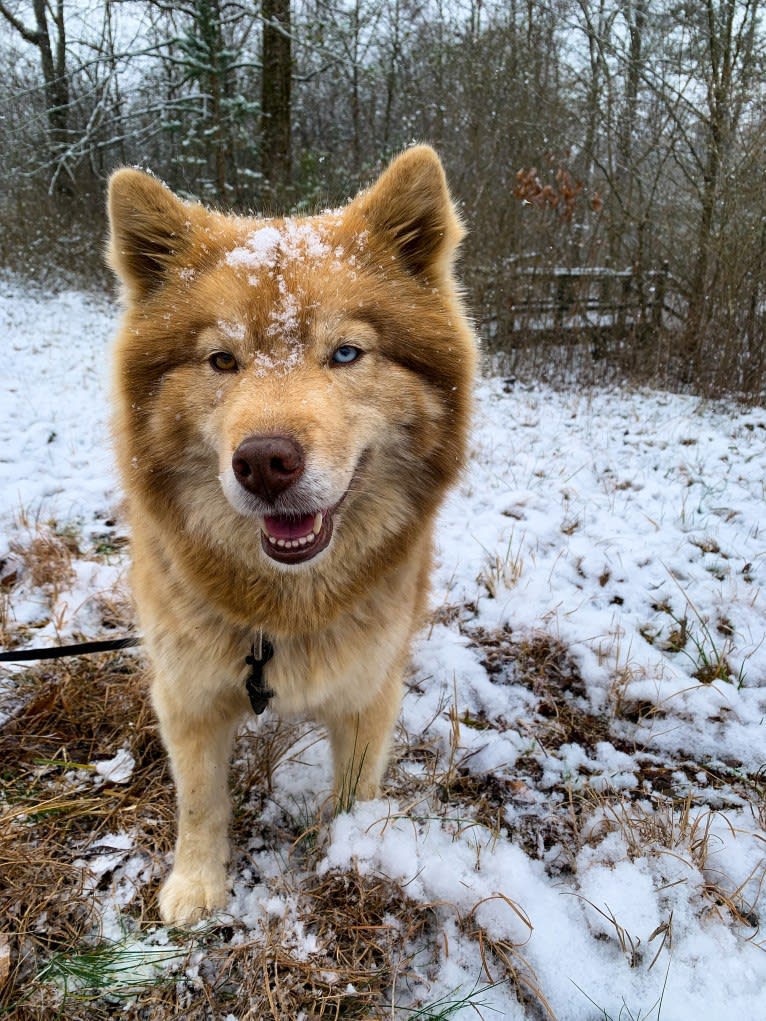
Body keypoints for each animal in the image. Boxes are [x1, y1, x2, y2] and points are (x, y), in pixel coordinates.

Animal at [105, 146, 477, 927]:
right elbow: (201, 802)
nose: (265, 462)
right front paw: (197, 883)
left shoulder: (367, 694)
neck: (280, 604)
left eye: (346, 353)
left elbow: (353, 794)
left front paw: (350, 858)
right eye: (222, 360)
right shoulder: (186, 694)